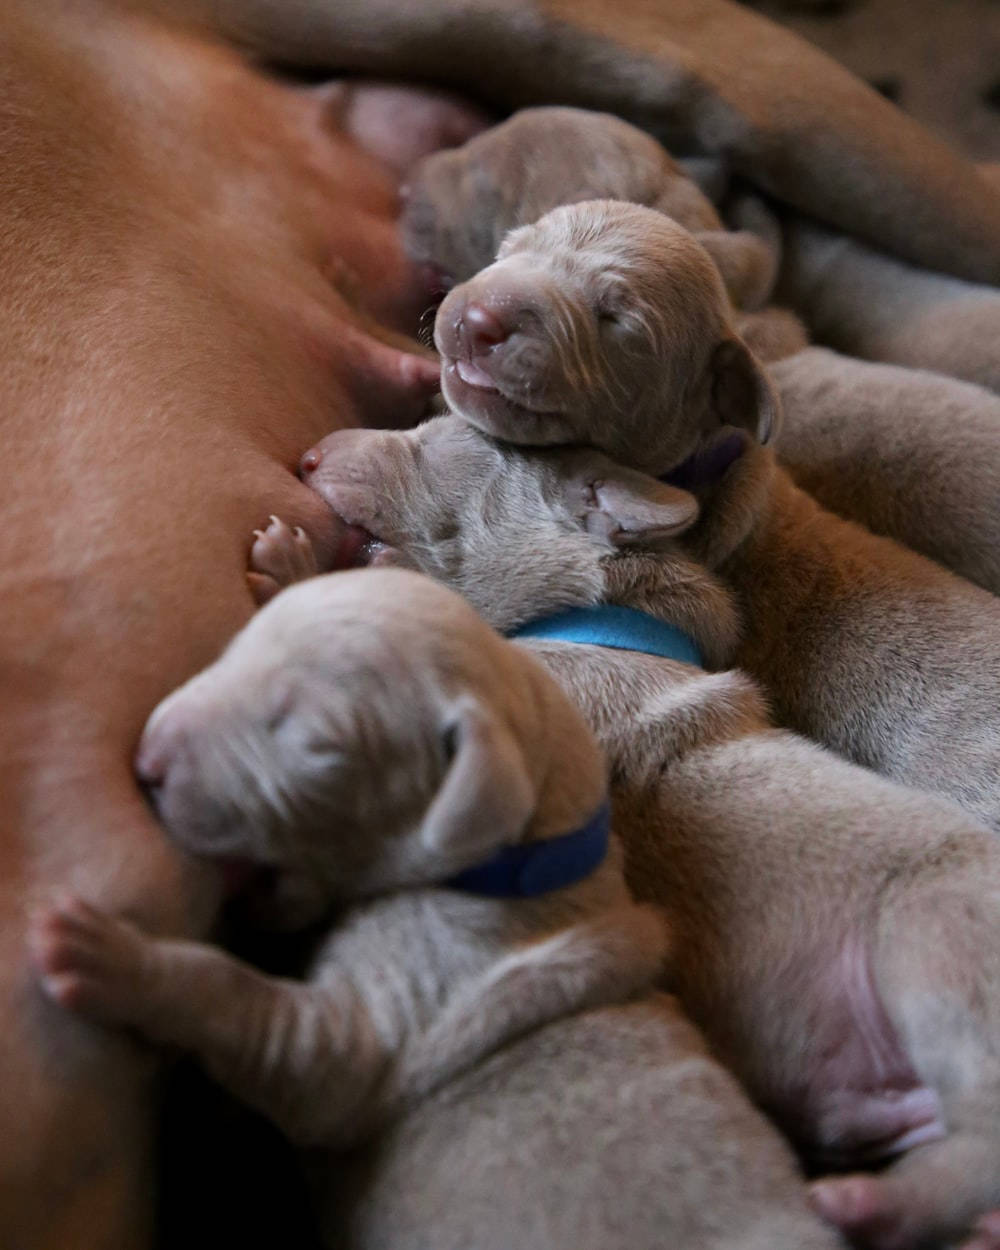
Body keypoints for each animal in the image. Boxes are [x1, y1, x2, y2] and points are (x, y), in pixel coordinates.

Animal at [33, 572, 845, 1250]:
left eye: (316, 746)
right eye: (238, 645)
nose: (147, 759)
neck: (513, 864)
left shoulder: (381, 1024)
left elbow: (263, 1025)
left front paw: (102, 954)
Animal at [261, 420, 1000, 1250]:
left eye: (438, 442)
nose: (311, 455)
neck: (599, 614)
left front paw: (293, 571)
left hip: (933, 935)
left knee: (981, 1129)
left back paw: (871, 1203)